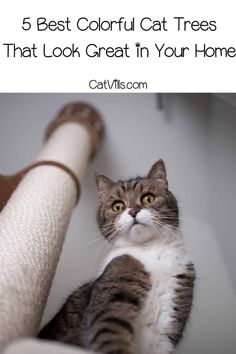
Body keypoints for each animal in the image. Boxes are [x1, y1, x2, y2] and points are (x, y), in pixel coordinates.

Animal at [38, 160, 195, 354]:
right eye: (117, 206)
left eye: (148, 198)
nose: (133, 211)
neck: (150, 250)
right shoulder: (114, 291)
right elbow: (109, 328)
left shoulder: (170, 321)